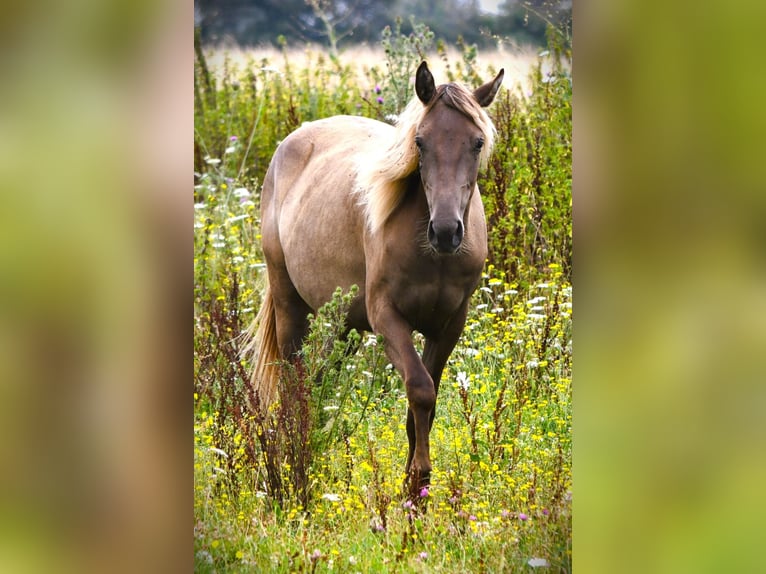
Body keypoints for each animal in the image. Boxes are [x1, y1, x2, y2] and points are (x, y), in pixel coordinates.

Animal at [245, 61, 504, 490]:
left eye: (477, 142)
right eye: (420, 142)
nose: (446, 231)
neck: (432, 256)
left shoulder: (448, 326)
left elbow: (426, 404)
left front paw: (416, 492)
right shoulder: (386, 318)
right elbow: (420, 389)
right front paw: (418, 478)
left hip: (342, 326)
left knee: (317, 384)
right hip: (289, 306)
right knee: (293, 388)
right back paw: (291, 468)